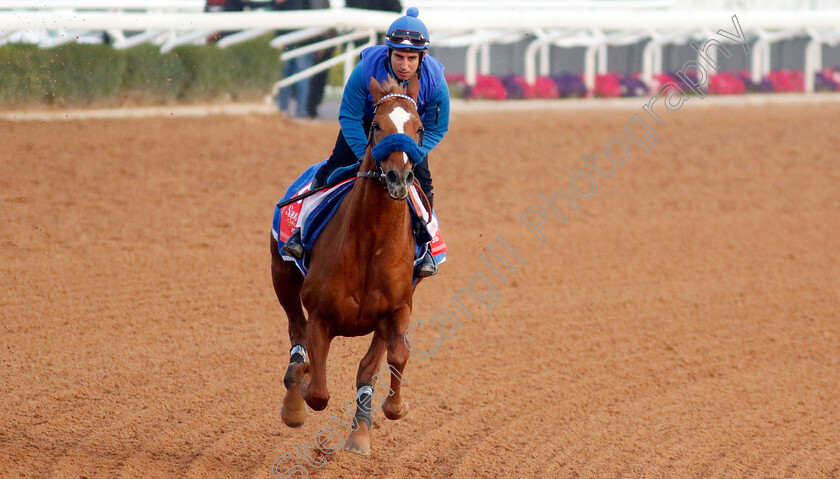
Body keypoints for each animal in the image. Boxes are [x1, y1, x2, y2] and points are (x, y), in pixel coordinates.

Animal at [270, 76, 426, 458]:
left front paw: (391, 410)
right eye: (376, 125)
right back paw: (293, 399)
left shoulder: (398, 308)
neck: (370, 245)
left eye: (418, 128)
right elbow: (317, 392)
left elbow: (392, 357)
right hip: (281, 277)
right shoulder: (321, 315)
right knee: (296, 334)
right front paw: (302, 388)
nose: (399, 178)